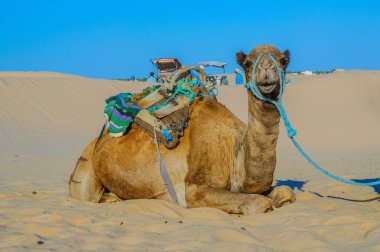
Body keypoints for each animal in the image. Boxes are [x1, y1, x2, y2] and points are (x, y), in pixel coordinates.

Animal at [70, 44, 296, 214]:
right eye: (248, 63)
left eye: (283, 61)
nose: (266, 71)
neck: (234, 152)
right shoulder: (191, 189)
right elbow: (259, 202)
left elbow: (286, 192)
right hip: (86, 164)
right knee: (85, 193)